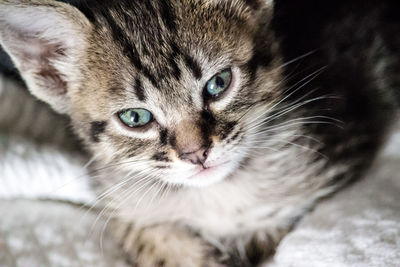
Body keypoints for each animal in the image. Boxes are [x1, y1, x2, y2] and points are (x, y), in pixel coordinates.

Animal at [0, 0, 400, 266]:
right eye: (135, 117)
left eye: (218, 84)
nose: (196, 154)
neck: (214, 195)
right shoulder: (120, 202)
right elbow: (146, 236)